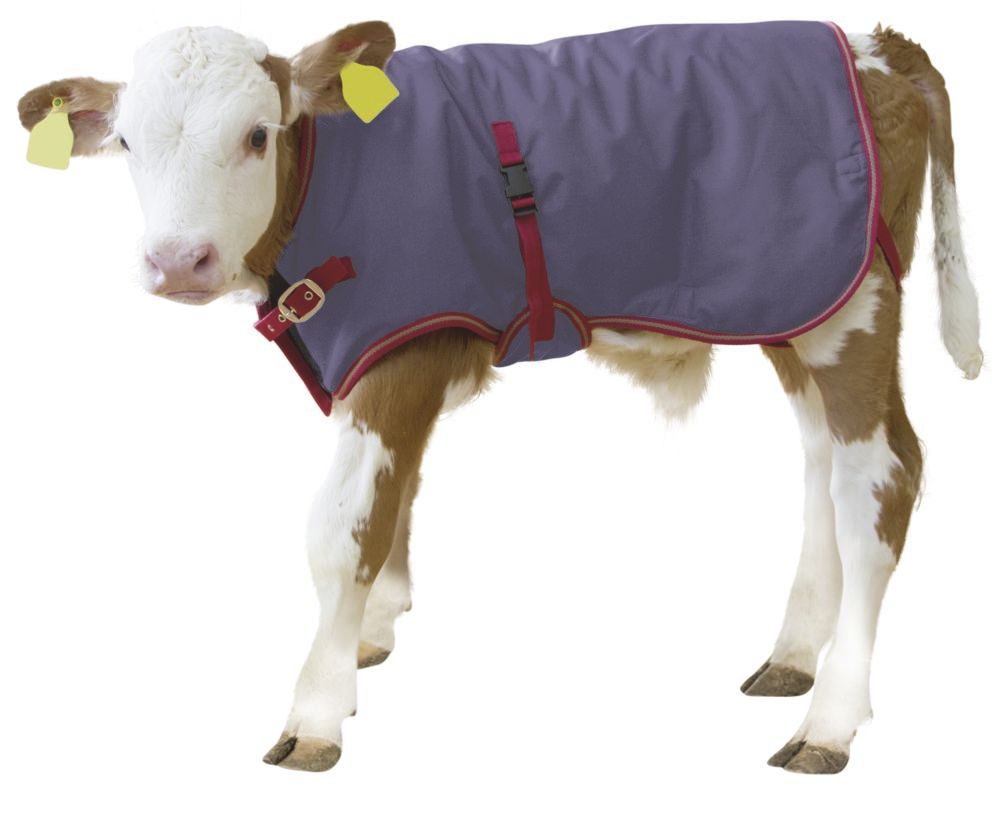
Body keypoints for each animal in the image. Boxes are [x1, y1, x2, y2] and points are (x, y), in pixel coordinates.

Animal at [17, 20, 982, 774]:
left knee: (881, 480)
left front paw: (317, 708)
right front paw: (368, 634)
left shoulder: (396, 353)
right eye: (130, 144)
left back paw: (829, 723)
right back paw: (794, 655)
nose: (179, 260)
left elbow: (342, 530)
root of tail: (873, 44)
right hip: (800, 307)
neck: (331, 176)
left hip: (854, 311)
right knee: (824, 464)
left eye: (257, 134)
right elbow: (398, 497)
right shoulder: (400, 355)